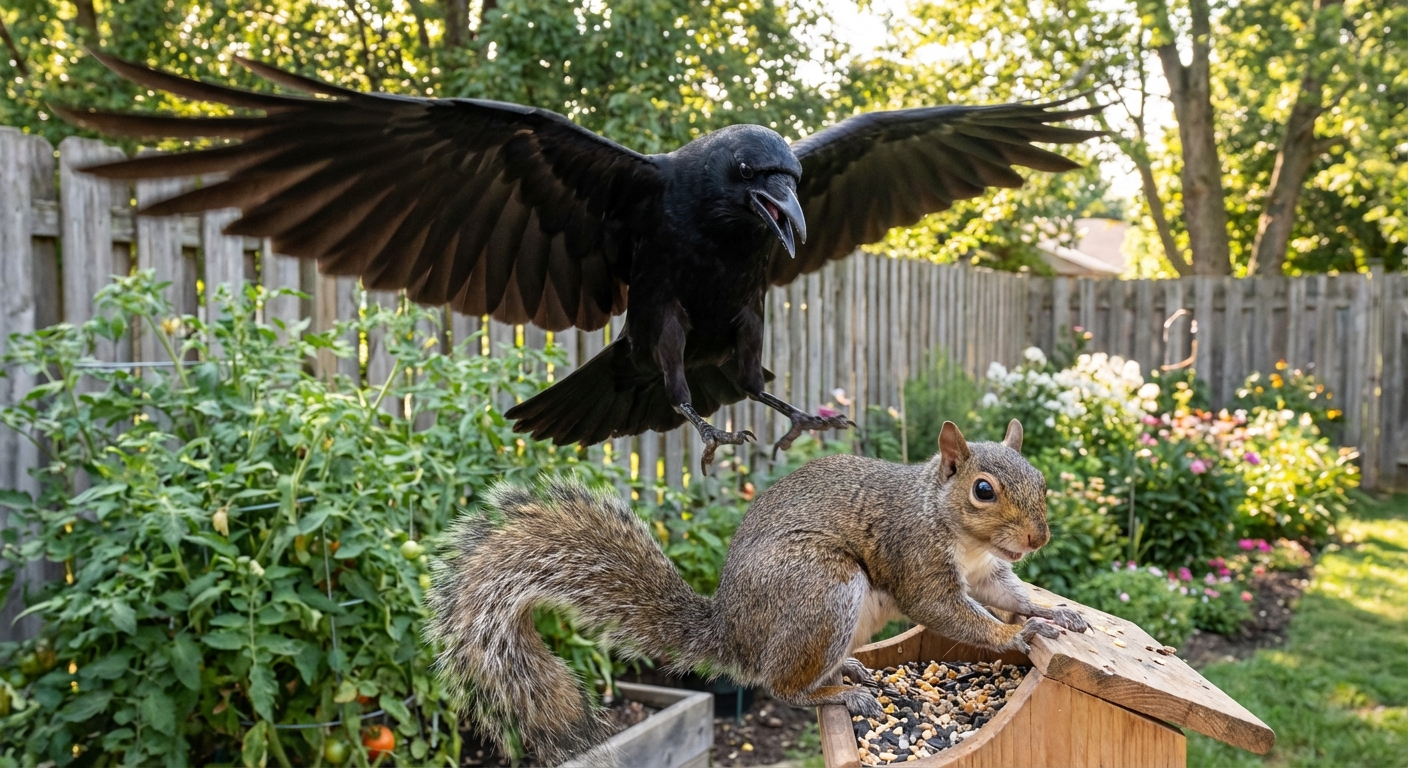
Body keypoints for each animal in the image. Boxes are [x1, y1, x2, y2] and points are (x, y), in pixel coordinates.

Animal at [426, 419, 1089, 763]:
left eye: (1042, 482)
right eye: (983, 490)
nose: (1037, 537)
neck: (954, 528)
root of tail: (730, 632)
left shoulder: (988, 573)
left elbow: (1008, 594)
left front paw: (1052, 613)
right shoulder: (917, 558)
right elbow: (952, 613)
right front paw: (1018, 635)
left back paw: (850, 669)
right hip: (823, 589)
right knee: (779, 684)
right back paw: (840, 694)